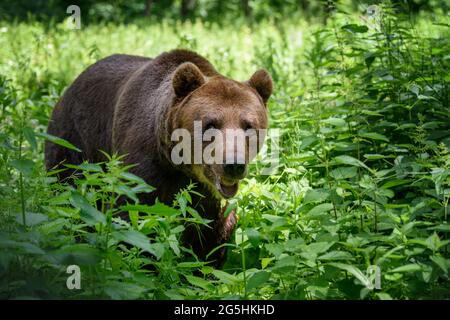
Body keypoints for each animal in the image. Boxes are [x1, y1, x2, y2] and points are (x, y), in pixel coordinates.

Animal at [45, 48, 272, 266]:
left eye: (248, 126)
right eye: (211, 124)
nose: (233, 165)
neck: (177, 162)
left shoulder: (204, 193)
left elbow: (209, 232)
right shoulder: (143, 166)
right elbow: (132, 215)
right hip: (74, 142)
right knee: (68, 194)